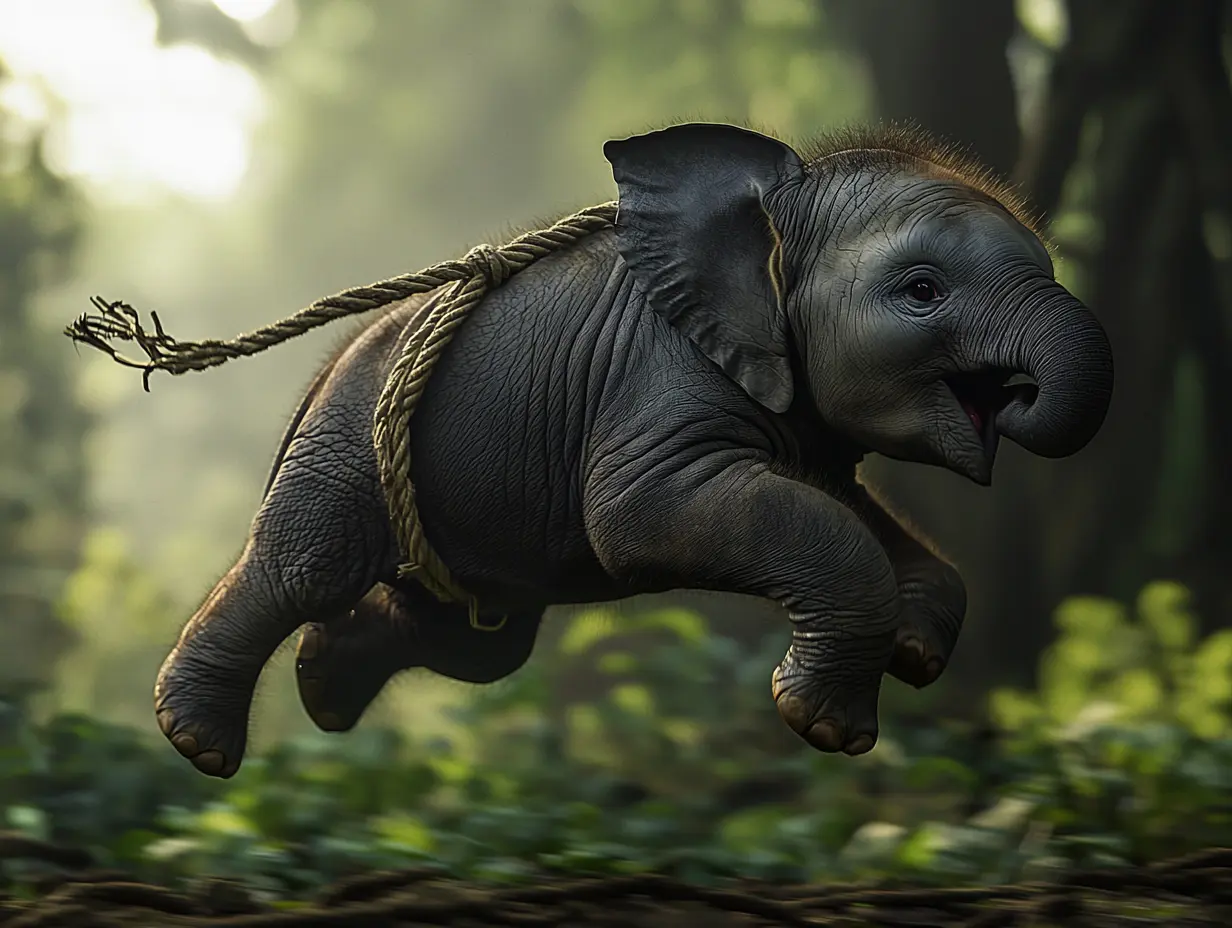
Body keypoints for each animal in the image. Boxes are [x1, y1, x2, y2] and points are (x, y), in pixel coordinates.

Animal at [152, 122, 1113, 778]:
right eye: (922, 291)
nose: (1019, 395)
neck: (776, 205)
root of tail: (321, 373)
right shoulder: (659, 378)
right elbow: (641, 518)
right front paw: (823, 729)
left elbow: (851, 512)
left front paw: (910, 658)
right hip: (348, 443)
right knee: (307, 570)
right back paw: (197, 745)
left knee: (480, 644)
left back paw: (320, 684)